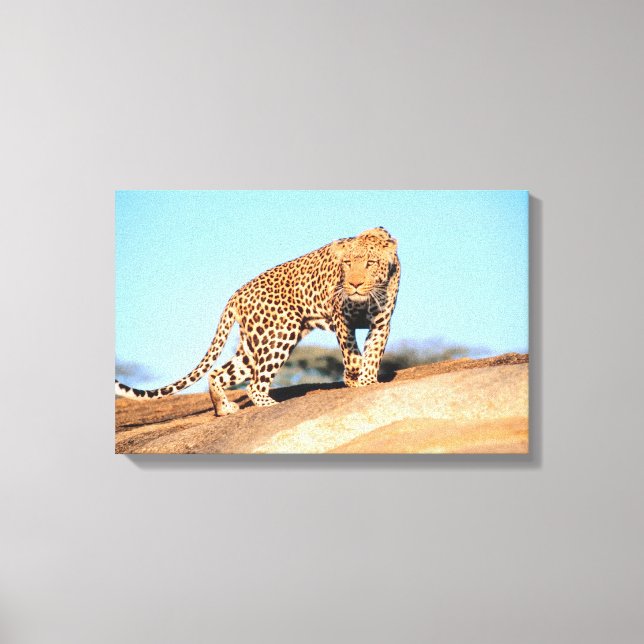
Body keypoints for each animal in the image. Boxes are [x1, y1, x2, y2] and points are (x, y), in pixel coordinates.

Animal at [115, 226, 400, 416]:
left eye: (370, 263)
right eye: (347, 263)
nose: (354, 284)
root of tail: (237, 293)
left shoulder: (381, 323)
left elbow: (374, 353)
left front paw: (367, 381)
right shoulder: (342, 319)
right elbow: (352, 354)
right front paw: (354, 376)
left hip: (253, 346)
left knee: (217, 373)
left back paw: (224, 408)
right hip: (281, 333)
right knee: (253, 385)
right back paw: (270, 405)